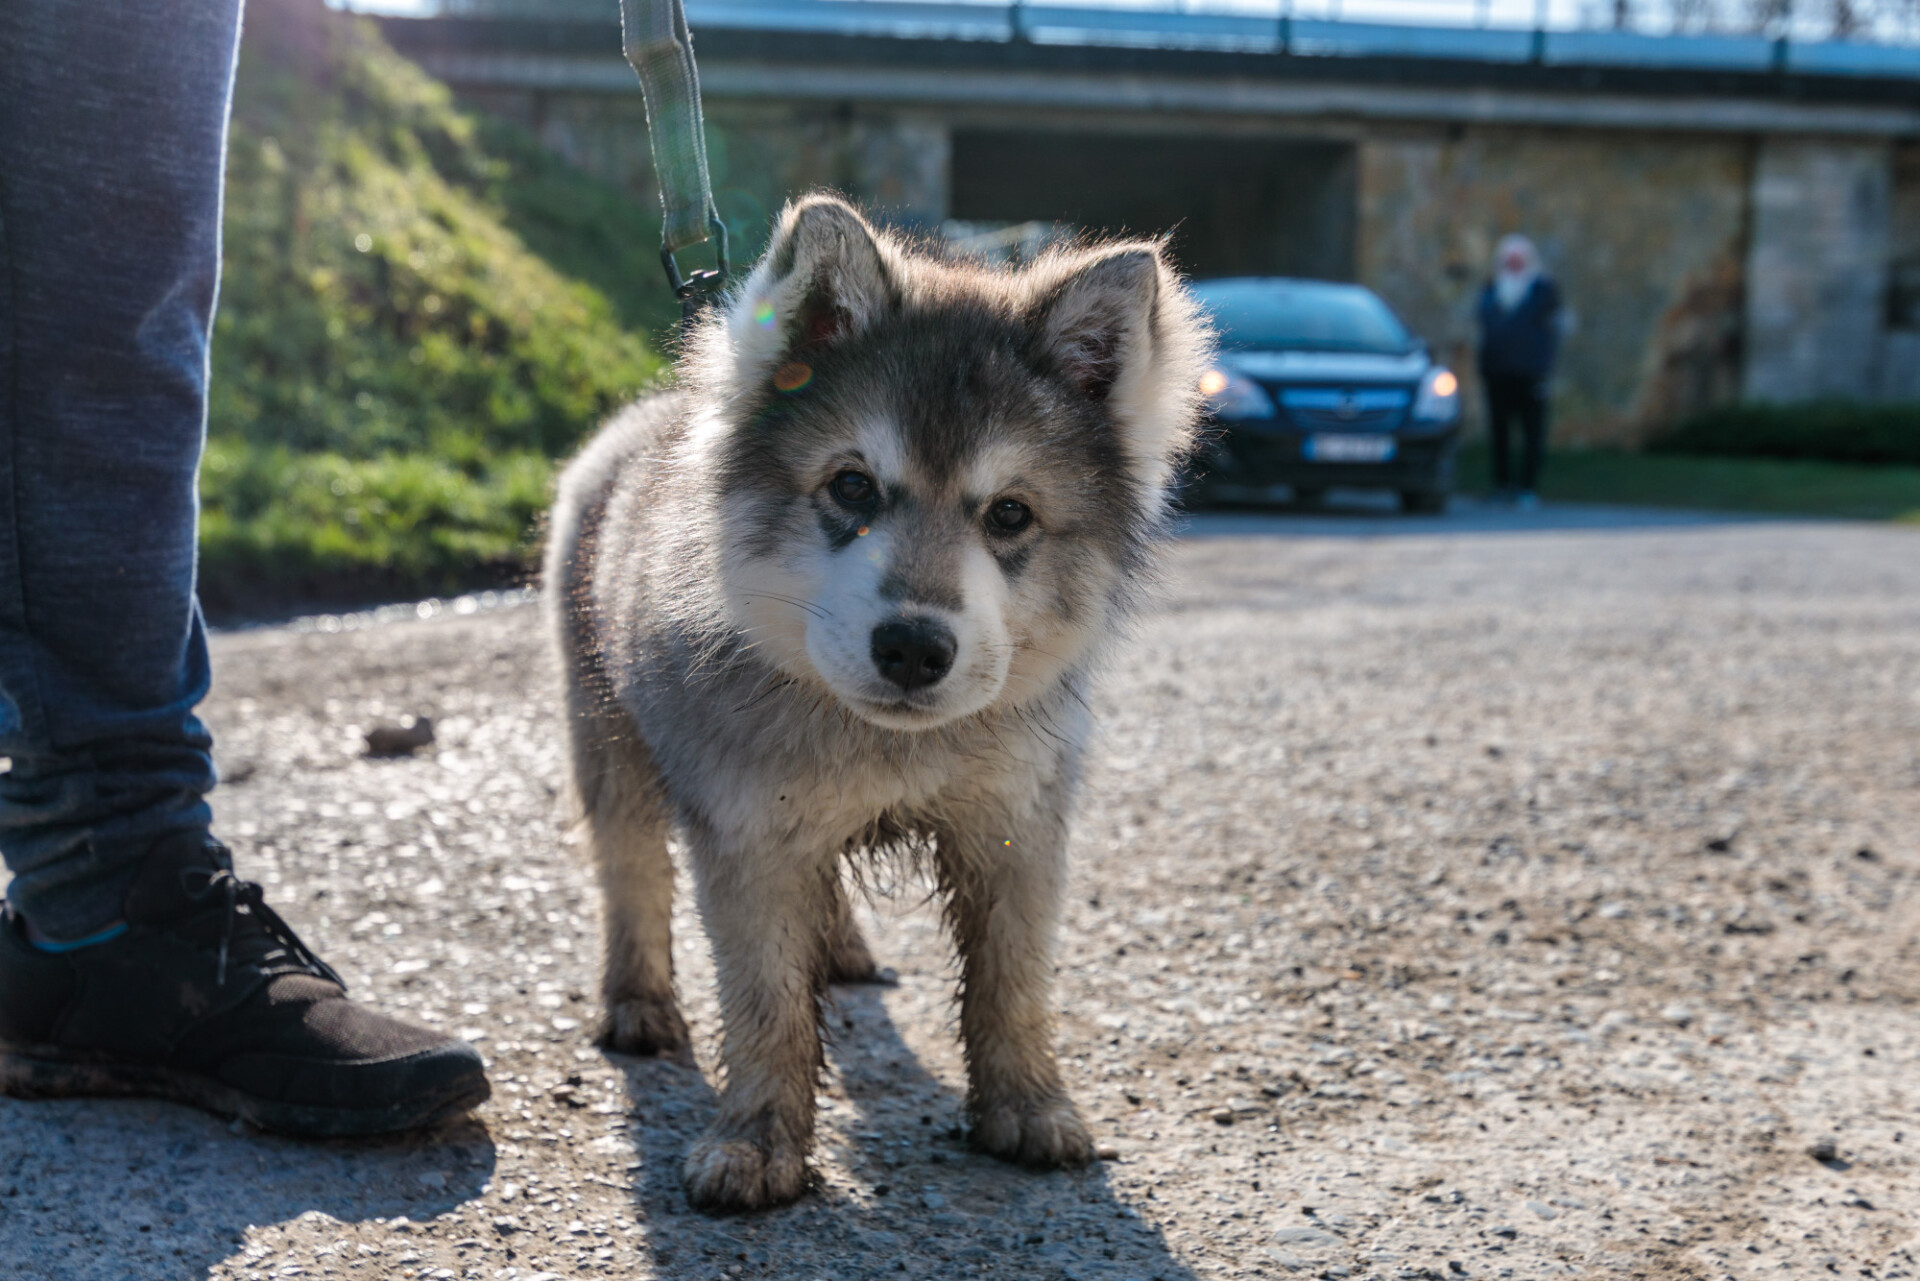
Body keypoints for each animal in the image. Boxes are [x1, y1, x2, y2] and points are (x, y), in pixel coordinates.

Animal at [545, 193, 1198, 1213]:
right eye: (852, 486)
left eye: (1010, 514)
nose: (915, 647)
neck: (889, 747)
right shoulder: (748, 835)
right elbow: (767, 1001)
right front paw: (756, 1139)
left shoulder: (1020, 822)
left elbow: (1014, 981)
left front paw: (1030, 1102)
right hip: (606, 741)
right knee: (631, 876)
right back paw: (638, 998)